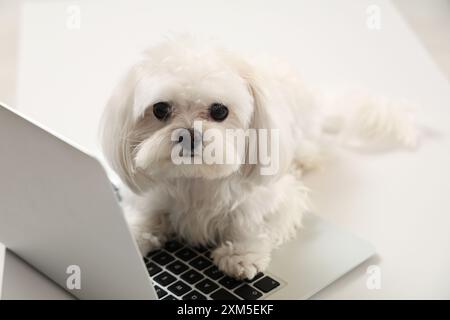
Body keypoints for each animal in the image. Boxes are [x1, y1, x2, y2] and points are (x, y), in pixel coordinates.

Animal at [100, 36, 416, 278]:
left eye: (219, 111)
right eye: (160, 109)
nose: (189, 134)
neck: (197, 180)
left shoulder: (277, 197)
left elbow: (250, 220)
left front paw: (242, 253)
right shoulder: (152, 194)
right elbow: (147, 213)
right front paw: (131, 232)